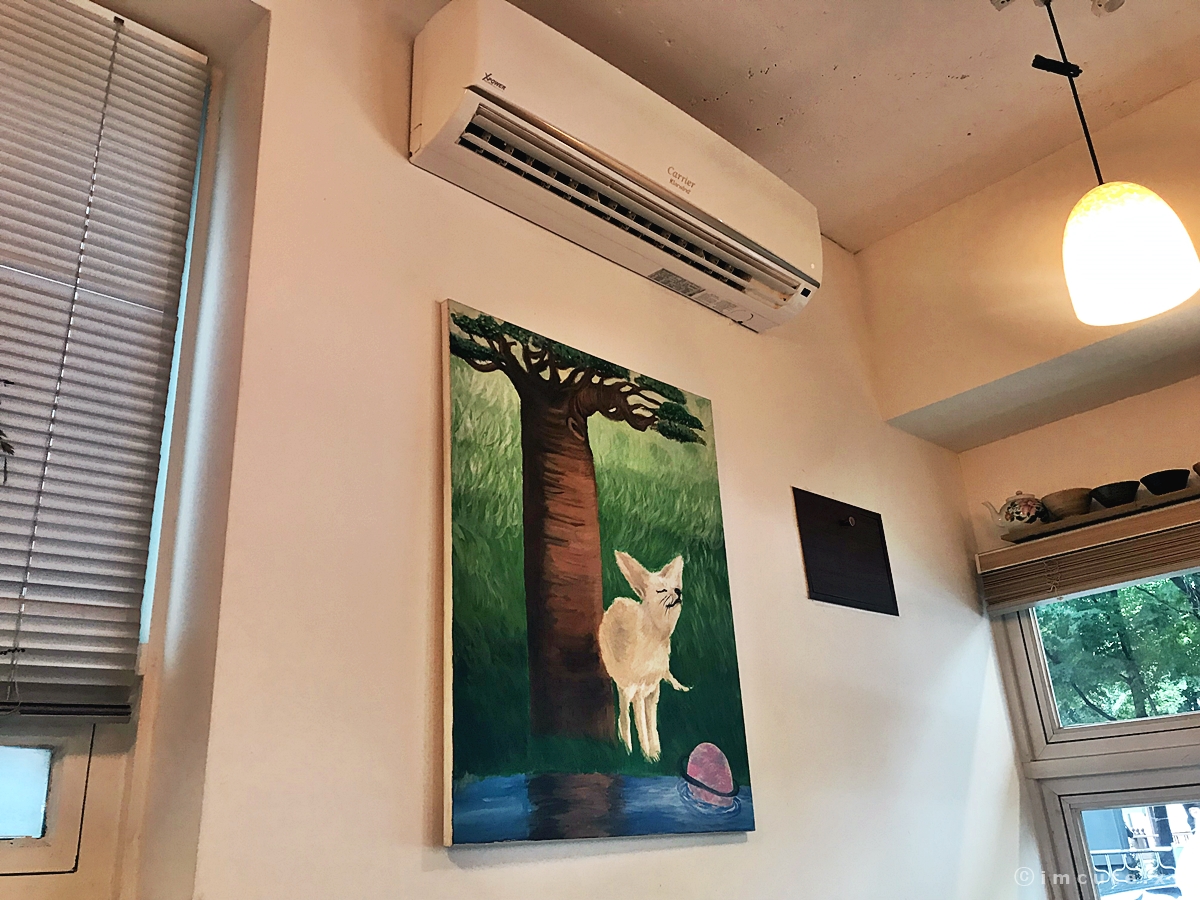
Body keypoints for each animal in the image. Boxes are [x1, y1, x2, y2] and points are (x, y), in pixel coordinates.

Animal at [597, 551, 690, 762]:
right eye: (661, 590)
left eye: (676, 586)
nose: (679, 592)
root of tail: (617, 601)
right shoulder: (638, 691)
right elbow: (640, 722)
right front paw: (648, 756)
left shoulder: (653, 690)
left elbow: (651, 722)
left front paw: (656, 752)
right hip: (624, 685)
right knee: (624, 713)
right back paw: (627, 747)